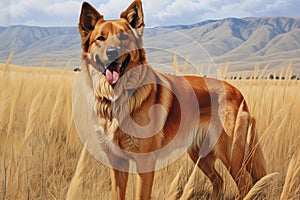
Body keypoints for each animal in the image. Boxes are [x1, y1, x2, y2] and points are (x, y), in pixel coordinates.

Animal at [78, 0, 268, 199]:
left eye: (123, 37)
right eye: (100, 38)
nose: (112, 52)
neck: (118, 96)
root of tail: (238, 92)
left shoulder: (145, 162)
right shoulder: (117, 162)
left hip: (230, 154)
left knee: (245, 183)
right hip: (200, 155)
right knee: (219, 180)